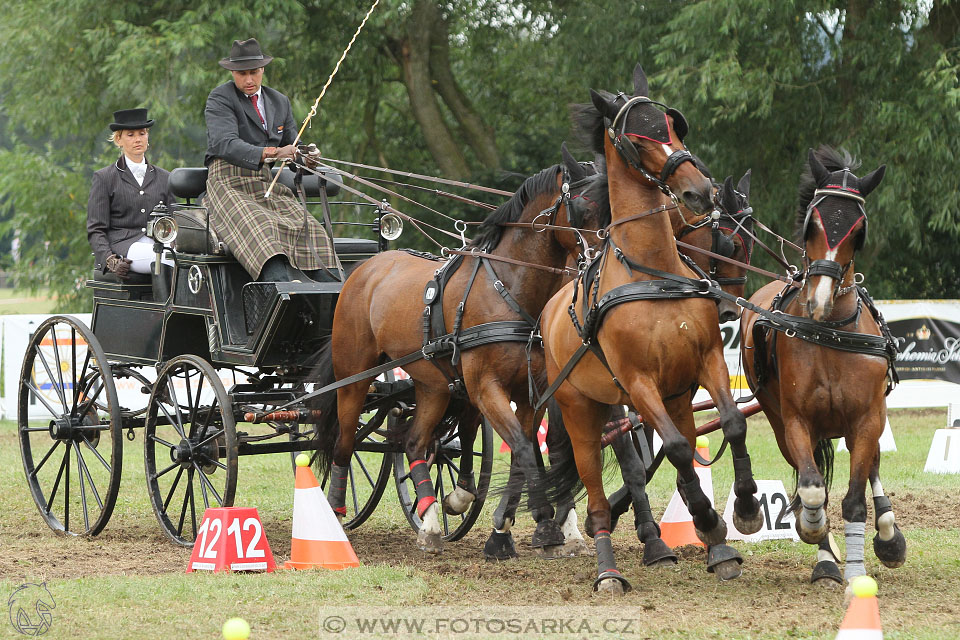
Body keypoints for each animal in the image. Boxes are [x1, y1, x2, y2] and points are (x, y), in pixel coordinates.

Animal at [316, 159, 608, 552]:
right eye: (583, 208)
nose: (604, 260)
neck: (509, 288)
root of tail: (364, 269)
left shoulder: (532, 394)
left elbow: (526, 451)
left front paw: (503, 524)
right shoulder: (486, 388)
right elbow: (521, 446)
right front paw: (544, 524)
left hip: (432, 385)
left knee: (415, 442)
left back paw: (429, 522)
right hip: (353, 377)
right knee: (344, 443)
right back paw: (334, 513)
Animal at [536, 62, 760, 592]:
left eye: (674, 127)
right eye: (638, 137)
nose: (700, 189)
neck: (652, 271)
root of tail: (550, 311)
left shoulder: (703, 364)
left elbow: (733, 424)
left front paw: (741, 512)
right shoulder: (639, 383)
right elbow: (676, 448)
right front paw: (707, 521)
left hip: (657, 399)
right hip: (580, 410)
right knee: (595, 490)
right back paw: (607, 568)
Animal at [740, 148, 904, 588]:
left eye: (858, 229)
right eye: (812, 222)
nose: (819, 299)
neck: (831, 331)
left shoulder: (866, 419)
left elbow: (855, 499)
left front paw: (860, 568)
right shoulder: (797, 422)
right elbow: (814, 489)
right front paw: (817, 539)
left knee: (873, 468)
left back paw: (889, 534)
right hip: (779, 420)